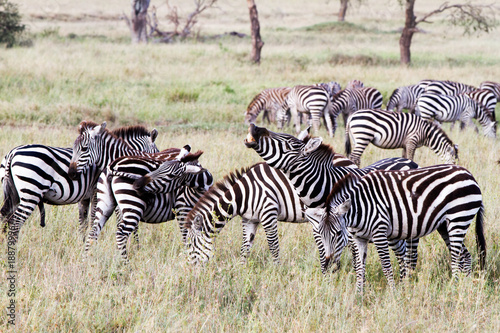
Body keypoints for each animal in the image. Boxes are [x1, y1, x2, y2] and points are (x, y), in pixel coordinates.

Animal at [0, 123, 159, 243]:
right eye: (156, 152)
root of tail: (12, 153)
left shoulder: (85, 196)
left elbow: (83, 221)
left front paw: (82, 242)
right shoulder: (96, 193)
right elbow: (98, 219)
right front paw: (135, 246)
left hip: (14, 194)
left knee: (5, 217)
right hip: (31, 193)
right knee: (14, 222)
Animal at [84, 148, 213, 262]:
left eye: (171, 176)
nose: (137, 184)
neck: (200, 186)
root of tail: (112, 167)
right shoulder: (183, 208)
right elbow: (187, 236)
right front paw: (189, 258)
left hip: (105, 204)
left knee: (93, 232)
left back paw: (87, 260)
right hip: (133, 205)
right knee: (121, 234)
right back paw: (127, 265)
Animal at [302, 165, 486, 292]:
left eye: (339, 233)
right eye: (320, 234)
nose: (328, 264)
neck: (359, 209)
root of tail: (469, 174)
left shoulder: (379, 232)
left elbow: (386, 266)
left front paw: (393, 293)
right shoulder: (359, 238)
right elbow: (360, 268)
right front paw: (359, 295)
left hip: (458, 218)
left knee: (455, 258)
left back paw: (453, 287)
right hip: (446, 225)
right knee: (465, 256)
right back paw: (465, 286)